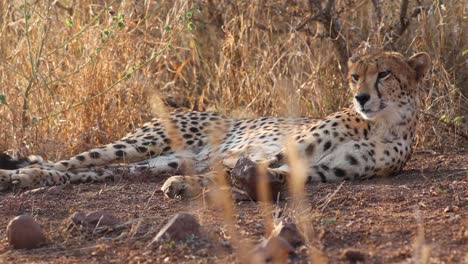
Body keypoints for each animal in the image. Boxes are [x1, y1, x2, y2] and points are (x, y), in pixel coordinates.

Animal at [0, 51, 432, 198]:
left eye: (384, 74)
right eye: (355, 77)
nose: (361, 98)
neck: (381, 124)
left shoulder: (318, 171)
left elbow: (251, 174)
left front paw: (184, 186)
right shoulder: (288, 149)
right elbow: (235, 170)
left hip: (155, 160)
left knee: (96, 172)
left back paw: (31, 179)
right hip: (143, 143)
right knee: (68, 162)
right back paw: (17, 176)